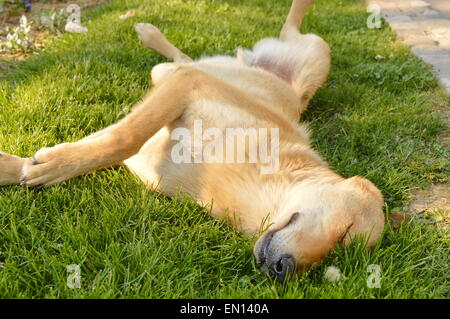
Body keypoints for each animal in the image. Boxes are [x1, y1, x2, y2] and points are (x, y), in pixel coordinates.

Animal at [0, 0, 384, 282]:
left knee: (183, 60)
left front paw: (24, 166)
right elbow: (123, 137)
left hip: (174, 74)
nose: (283, 271)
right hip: (315, 55)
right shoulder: (186, 87)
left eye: (333, 259)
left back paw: (151, 35)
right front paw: (48, 167)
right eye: (344, 233)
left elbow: (99, 143)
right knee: (288, 26)